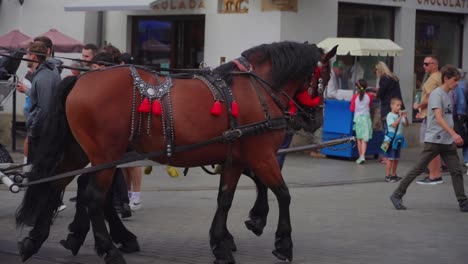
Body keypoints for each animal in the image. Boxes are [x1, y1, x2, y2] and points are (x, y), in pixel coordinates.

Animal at [15, 41, 336, 264]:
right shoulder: (261, 155)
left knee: (58, 184)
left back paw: (36, 240)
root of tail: (81, 79)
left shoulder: (235, 157)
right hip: (105, 155)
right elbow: (283, 192)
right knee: (93, 196)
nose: (316, 119)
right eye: (324, 79)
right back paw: (109, 249)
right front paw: (282, 242)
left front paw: (222, 242)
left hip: (81, 152)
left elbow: (226, 198)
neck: (255, 89)